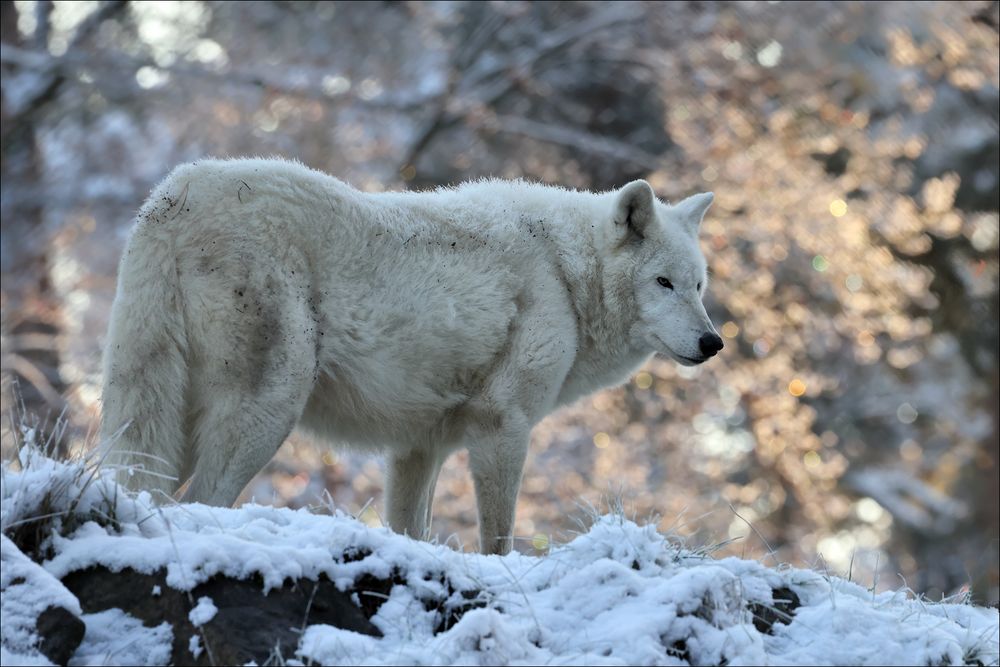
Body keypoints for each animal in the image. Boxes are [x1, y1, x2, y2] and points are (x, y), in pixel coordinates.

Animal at [99, 159, 720, 556]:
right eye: (663, 283)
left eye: (698, 286)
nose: (713, 343)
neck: (565, 276)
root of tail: (174, 195)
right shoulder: (503, 425)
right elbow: (498, 539)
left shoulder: (420, 445)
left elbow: (409, 530)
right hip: (268, 410)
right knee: (198, 502)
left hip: (171, 420)